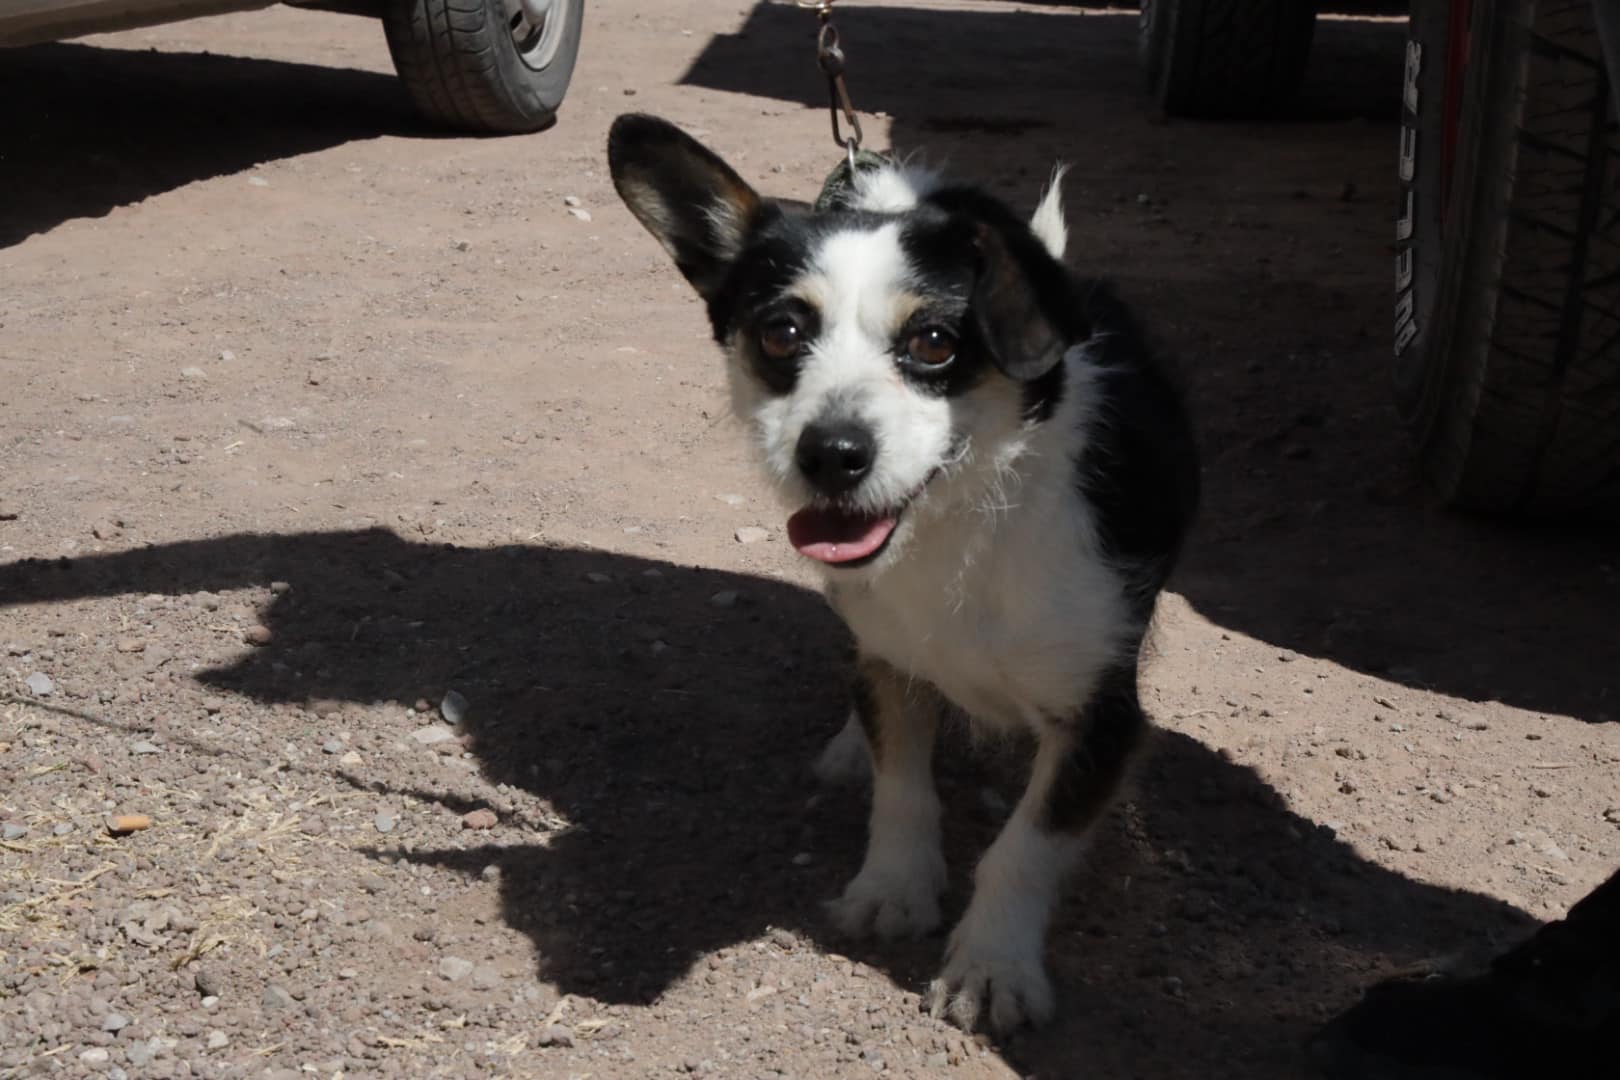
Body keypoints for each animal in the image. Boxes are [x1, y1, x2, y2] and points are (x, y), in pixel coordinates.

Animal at [612, 114, 1198, 1036]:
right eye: (780, 333)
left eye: (932, 342)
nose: (830, 454)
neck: (960, 523)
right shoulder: (893, 663)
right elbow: (901, 783)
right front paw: (893, 886)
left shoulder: (1101, 721)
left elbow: (1026, 844)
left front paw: (992, 964)